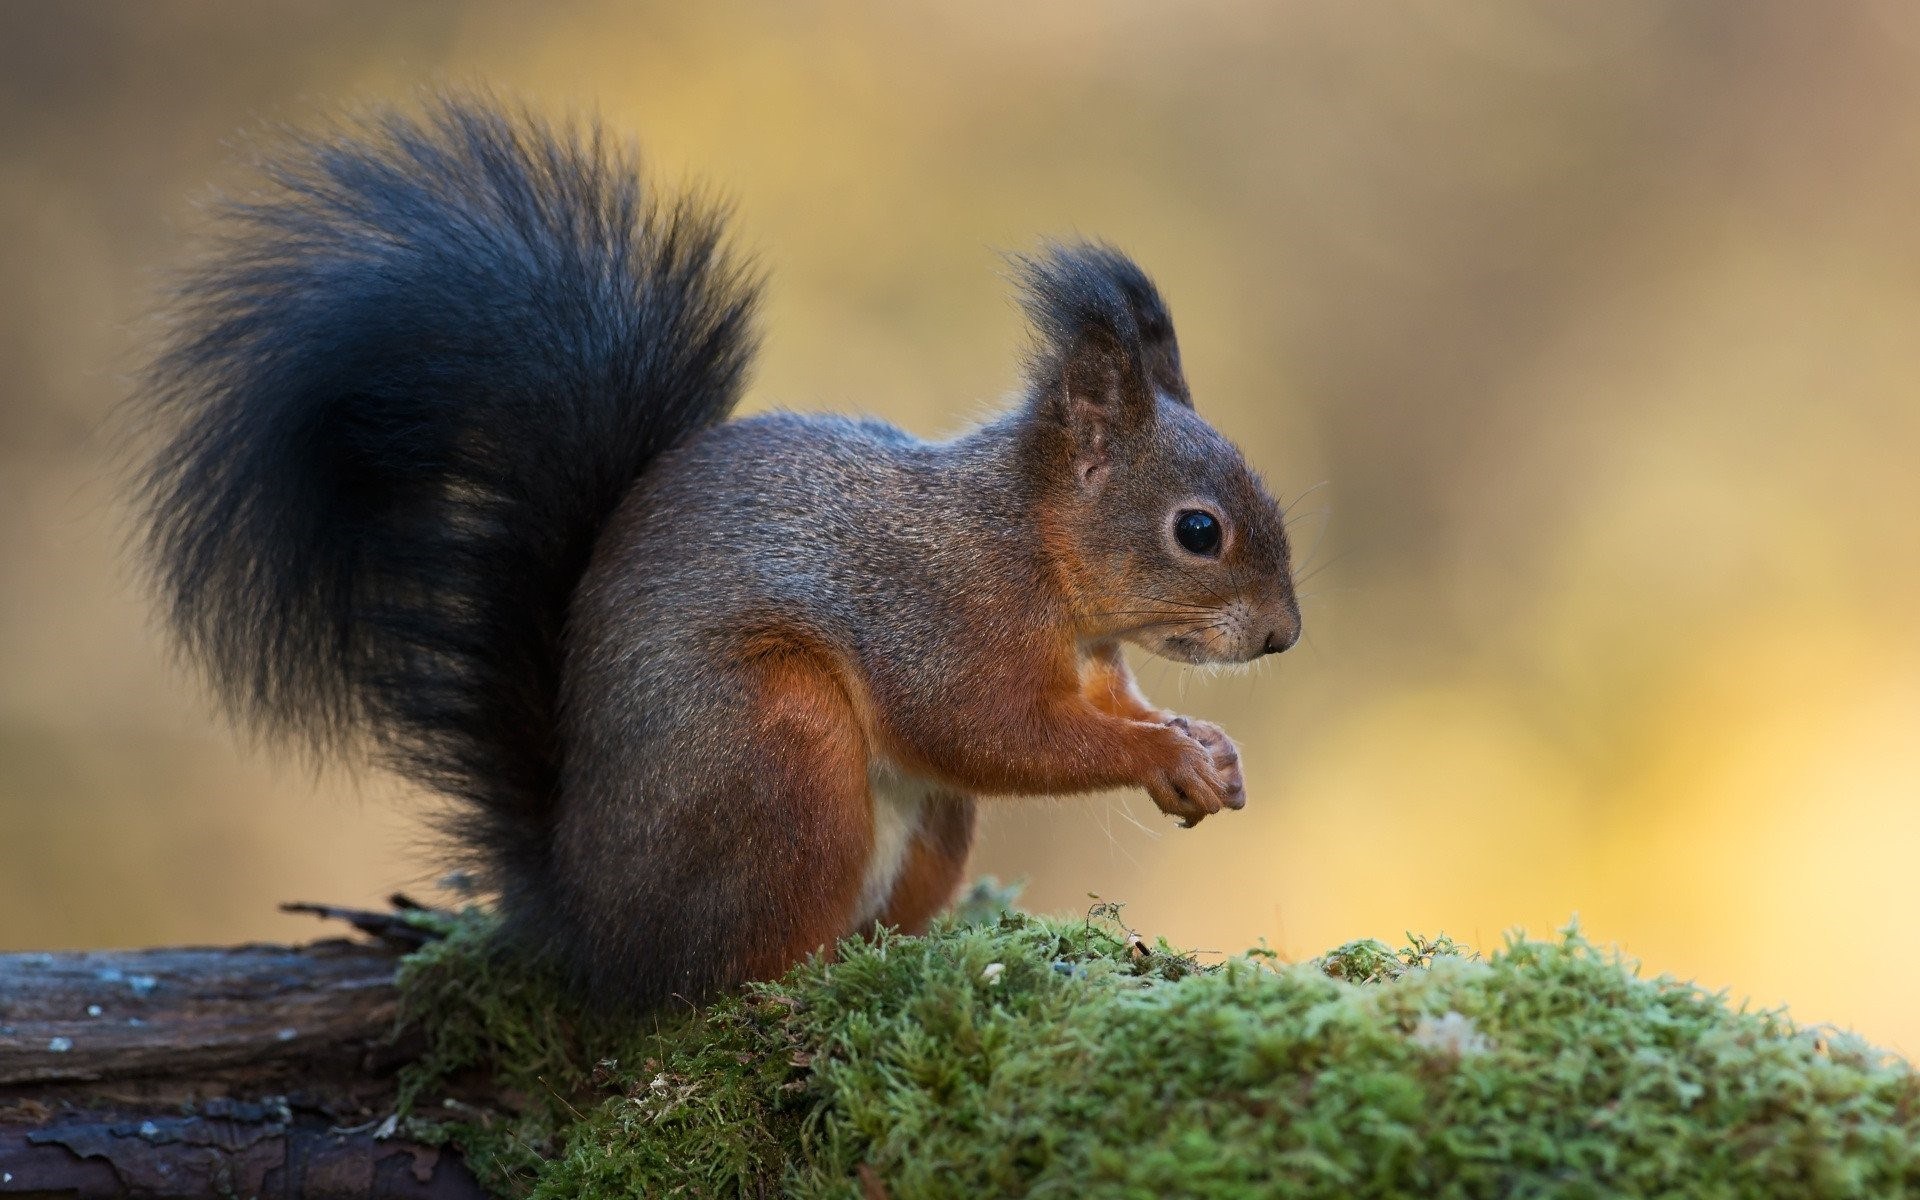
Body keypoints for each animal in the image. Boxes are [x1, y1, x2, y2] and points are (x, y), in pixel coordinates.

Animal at [139, 96, 1305, 1013]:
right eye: (1199, 531)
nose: (1285, 636)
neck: (1035, 551)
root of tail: (587, 921)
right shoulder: (939, 613)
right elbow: (989, 730)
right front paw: (1161, 756)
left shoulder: (1092, 659)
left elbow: (1108, 706)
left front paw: (1204, 749)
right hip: (775, 747)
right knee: (722, 975)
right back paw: (804, 981)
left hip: (912, 823)